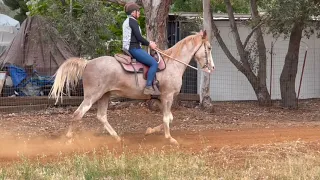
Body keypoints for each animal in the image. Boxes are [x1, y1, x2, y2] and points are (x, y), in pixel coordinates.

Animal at [48, 29, 215, 145]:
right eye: (209, 48)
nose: (212, 68)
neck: (172, 64)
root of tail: (87, 62)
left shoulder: (161, 98)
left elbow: (169, 118)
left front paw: (150, 131)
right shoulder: (167, 96)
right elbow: (167, 118)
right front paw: (169, 138)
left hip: (104, 95)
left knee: (101, 116)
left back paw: (117, 137)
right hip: (92, 96)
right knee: (78, 115)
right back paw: (69, 139)